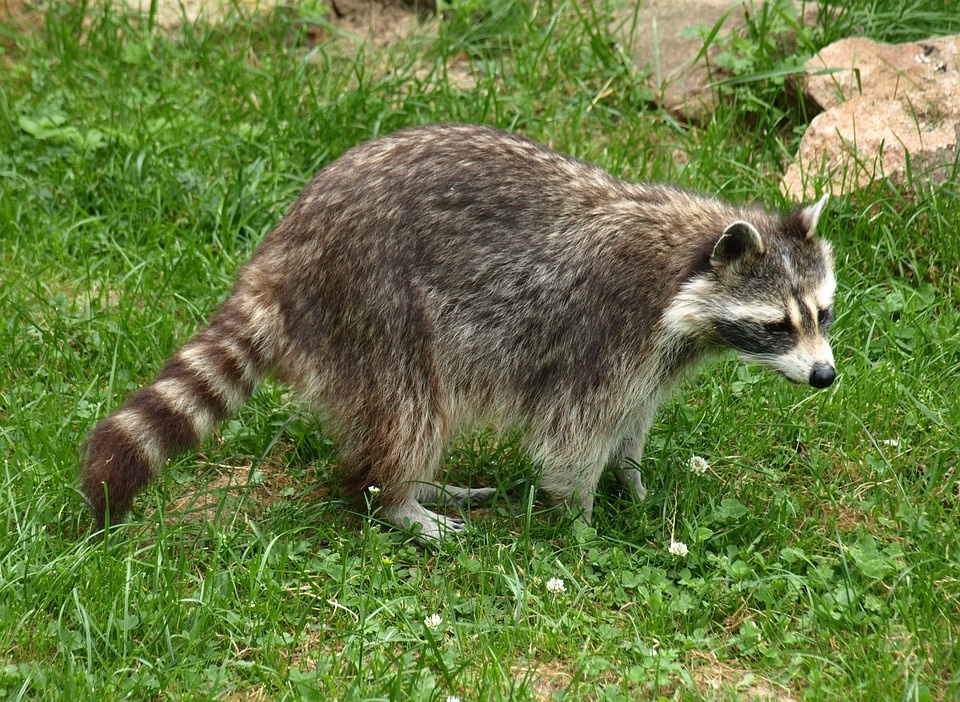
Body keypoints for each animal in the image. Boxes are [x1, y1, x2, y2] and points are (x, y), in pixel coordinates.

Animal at [82, 124, 836, 540]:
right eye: (778, 325)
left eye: (822, 315)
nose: (826, 376)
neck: (685, 264)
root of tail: (285, 246)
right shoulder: (607, 328)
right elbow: (571, 435)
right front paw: (581, 518)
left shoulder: (657, 355)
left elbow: (633, 420)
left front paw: (635, 481)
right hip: (373, 303)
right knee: (411, 409)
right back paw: (397, 500)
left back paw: (419, 488)